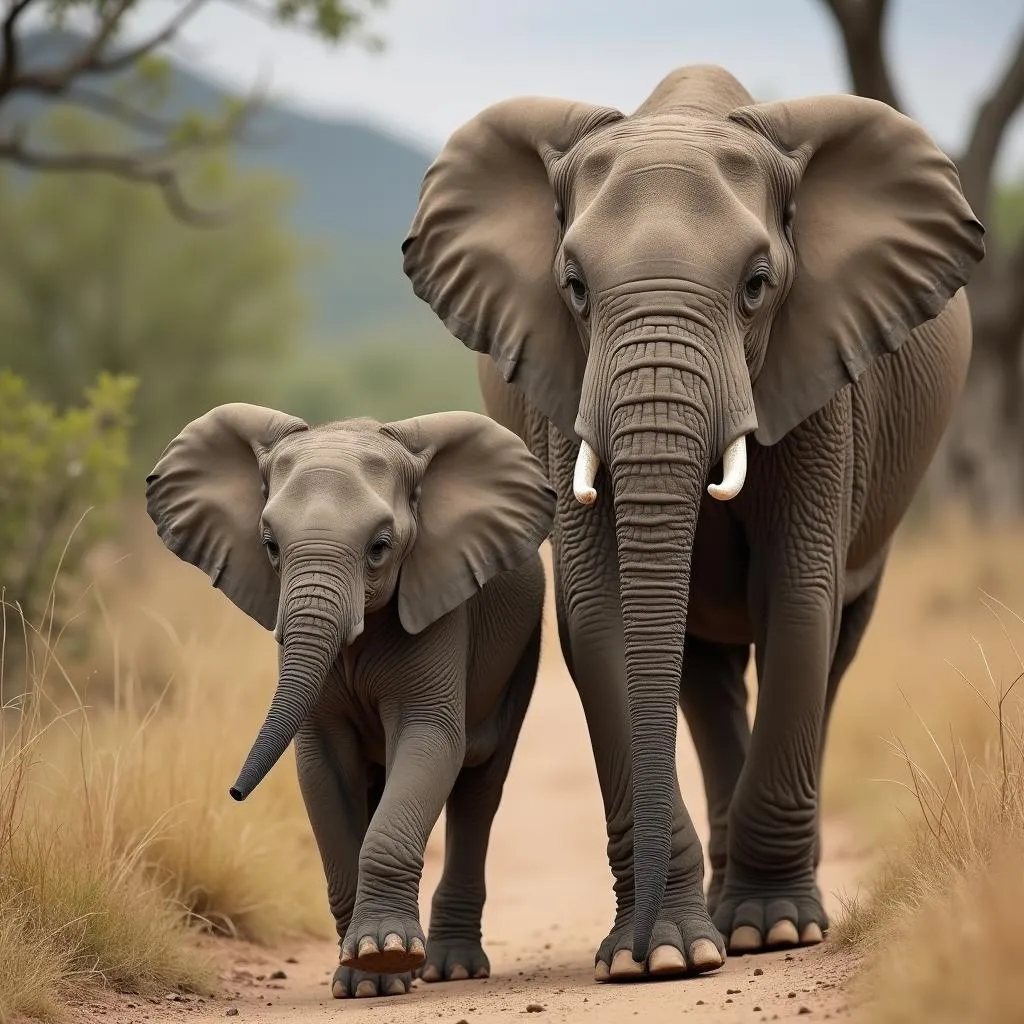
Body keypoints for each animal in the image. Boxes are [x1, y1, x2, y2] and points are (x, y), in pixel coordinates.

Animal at [146, 403, 552, 995]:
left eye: (380, 548)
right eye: (270, 546)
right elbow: (323, 764)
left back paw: (450, 969)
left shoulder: (439, 606)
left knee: (480, 786)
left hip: (522, 651)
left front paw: (385, 954)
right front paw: (364, 980)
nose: (234, 792)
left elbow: (431, 739)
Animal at [399, 61, 983, 974]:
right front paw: (662, 955)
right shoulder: (562, 393)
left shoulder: (823, 378)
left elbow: (797, 600)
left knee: (834, 647)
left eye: (756, 287)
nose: (644, 942)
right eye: (574, 289)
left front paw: (772, 929)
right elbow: (599, 616)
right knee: (704, 676)